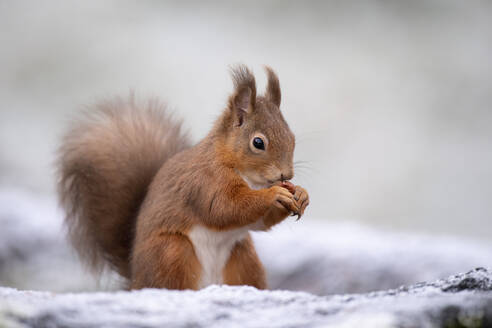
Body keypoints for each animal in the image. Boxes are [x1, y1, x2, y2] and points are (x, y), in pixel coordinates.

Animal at [57, 64, 310, 290]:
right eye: (258, 142)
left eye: (292, 137)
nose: (286, 174)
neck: (249, 178)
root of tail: (136, 281)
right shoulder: (204, 182)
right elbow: (225, 207)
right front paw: (274, 194)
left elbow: (258, 222)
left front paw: (301, 194)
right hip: (173, 253)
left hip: (244, 258)